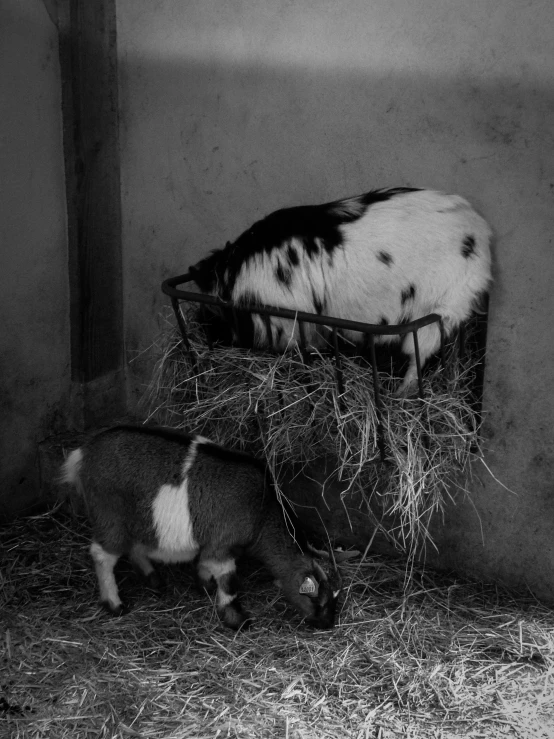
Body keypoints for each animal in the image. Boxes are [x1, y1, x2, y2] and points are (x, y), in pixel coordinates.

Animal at [58, 428, 338, 632]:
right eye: (318, 600)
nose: (328, 624)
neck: (262, 512)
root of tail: (82, 455)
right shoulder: (222, 544)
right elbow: (229, 581)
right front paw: (237, 620)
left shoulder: (213, 542)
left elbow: (205, 563)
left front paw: (204, 584)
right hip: (110, 515)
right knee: (102, 555)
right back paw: (114, 604)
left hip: (138, 518)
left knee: (135, 546)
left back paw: (153, 579)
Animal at [190, 188, 492, 394]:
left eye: (211, 313)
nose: (204, 328)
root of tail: (480, 231)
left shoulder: (292, 328)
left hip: (442, 311)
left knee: (418, 357)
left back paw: (401, 393)